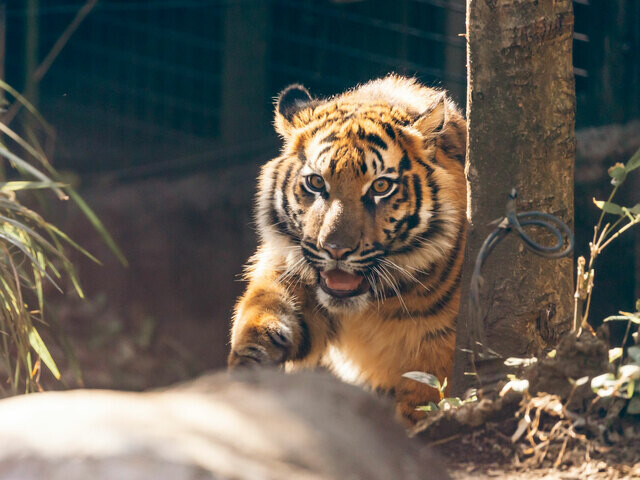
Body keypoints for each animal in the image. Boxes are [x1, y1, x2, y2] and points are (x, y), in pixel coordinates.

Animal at [228, 75, 468, 424]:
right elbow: (262, 311)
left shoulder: (437, 348)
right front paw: (247, 366)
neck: (371, 306)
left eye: (381, 186)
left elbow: (422, 400)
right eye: (316, 183)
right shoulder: (290, 269)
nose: (336, 250)